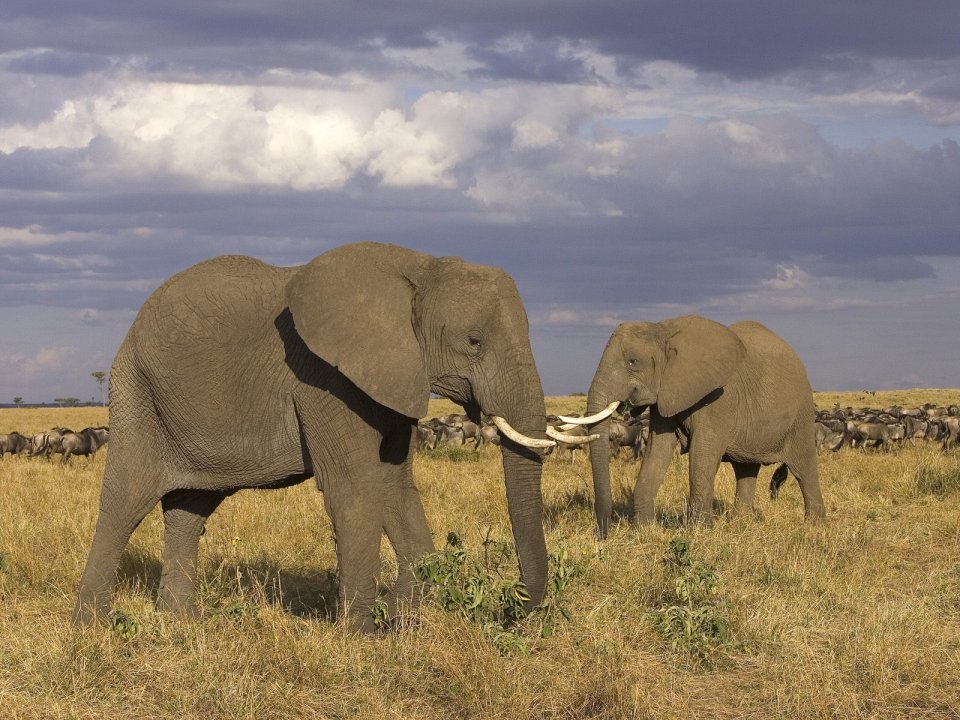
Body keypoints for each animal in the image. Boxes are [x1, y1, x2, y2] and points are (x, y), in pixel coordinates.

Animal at [73, 242, 578, 633]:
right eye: (473, 340)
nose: (512, 608)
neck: (421, 267)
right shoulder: (323, 380)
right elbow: (353, 489)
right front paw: (362, 635)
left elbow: (394, 487)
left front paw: (403, 621)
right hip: (136, 391)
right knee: (125, 502)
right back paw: (93, 628)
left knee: (189, 508)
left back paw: (181, 623)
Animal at [568, 315, 826, 537]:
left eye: (632, 362)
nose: (602, 536)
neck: (663, 331)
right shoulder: (666, 392)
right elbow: (657, 451)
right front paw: (646, 530)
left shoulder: (720, 397)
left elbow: (703, 454)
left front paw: (699, 532)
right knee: (745, 469)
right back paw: (741, 523)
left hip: (801, 414)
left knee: (803, 469)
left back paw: (814, 526)